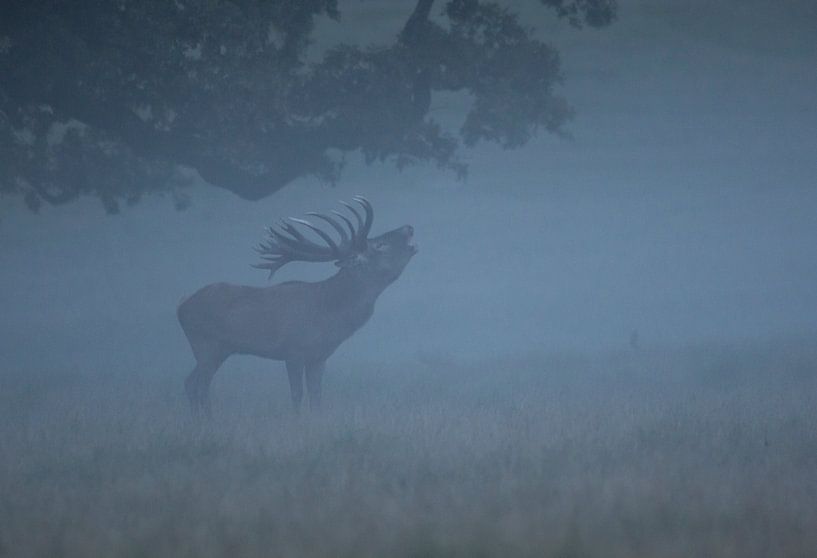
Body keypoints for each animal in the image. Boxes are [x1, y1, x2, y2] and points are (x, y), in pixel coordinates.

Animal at [177, 196, 417, 416]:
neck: (330, 315)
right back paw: (208, 419)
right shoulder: (293, 349)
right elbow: (297, 393)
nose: (409, 227)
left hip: (219, 350)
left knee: (190, 382)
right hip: (205, 343)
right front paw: (297, 420)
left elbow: (316, 394)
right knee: (200, 385)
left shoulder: (319, 356)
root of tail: (181, 308)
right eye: (380, 245)